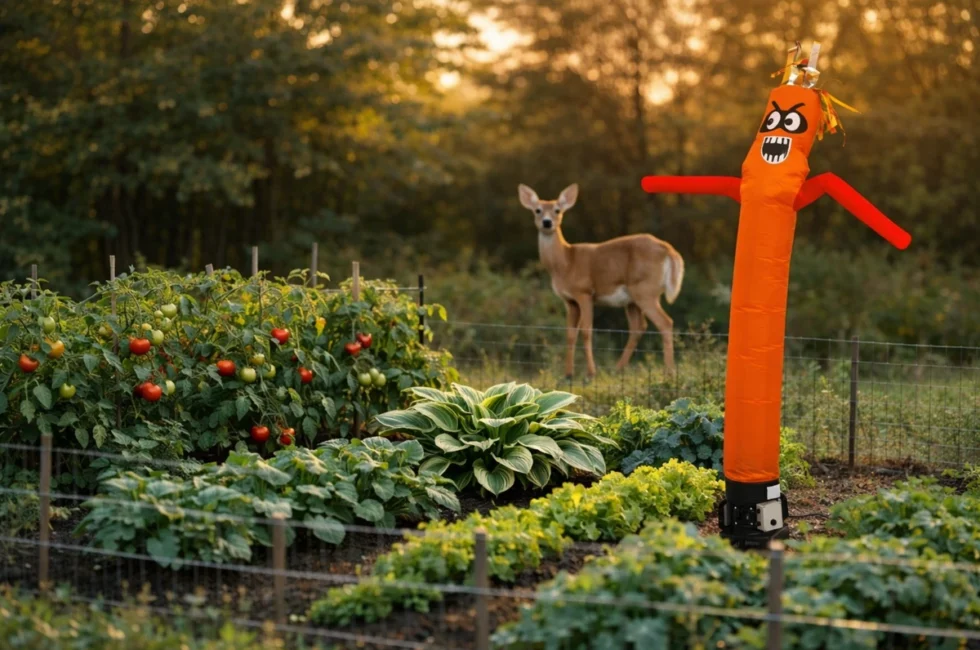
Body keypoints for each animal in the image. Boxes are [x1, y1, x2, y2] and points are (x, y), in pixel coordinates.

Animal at [518, 183, 684, 379]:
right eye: (537, 210)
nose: (547, 222)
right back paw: (618, 369)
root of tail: (668, 249)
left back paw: (669, 373)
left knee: (665, 322)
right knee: (638, 327)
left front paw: (590, 373)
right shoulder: (569, 301)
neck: (565, 262)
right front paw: (568, 374)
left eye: (557, 210)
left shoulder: (584, 292)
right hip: (632, 299)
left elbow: (586, 330)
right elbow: (570, 333)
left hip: (645, 290)